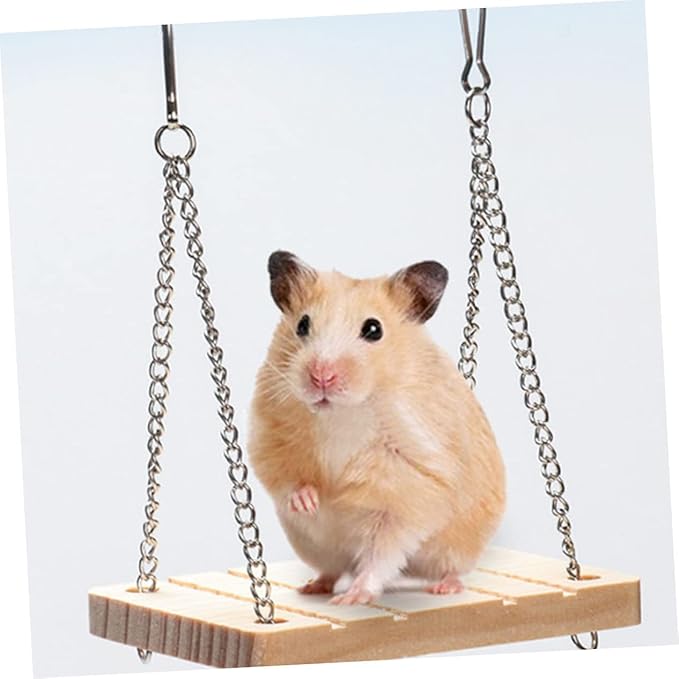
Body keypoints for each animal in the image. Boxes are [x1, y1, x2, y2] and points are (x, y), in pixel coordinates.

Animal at [248, 251, 505, 605]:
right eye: (302, 324)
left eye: (373, 329)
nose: (321, 376)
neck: (343, 414)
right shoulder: (269, 435)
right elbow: (285, 478)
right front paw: (311, 501)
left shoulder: (415, 482)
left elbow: (382, 551)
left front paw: (353, 597)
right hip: (315, 547)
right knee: (332, 569)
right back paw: (313, 587)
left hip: (459, 546)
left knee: (447, 568)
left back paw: (443, 587)